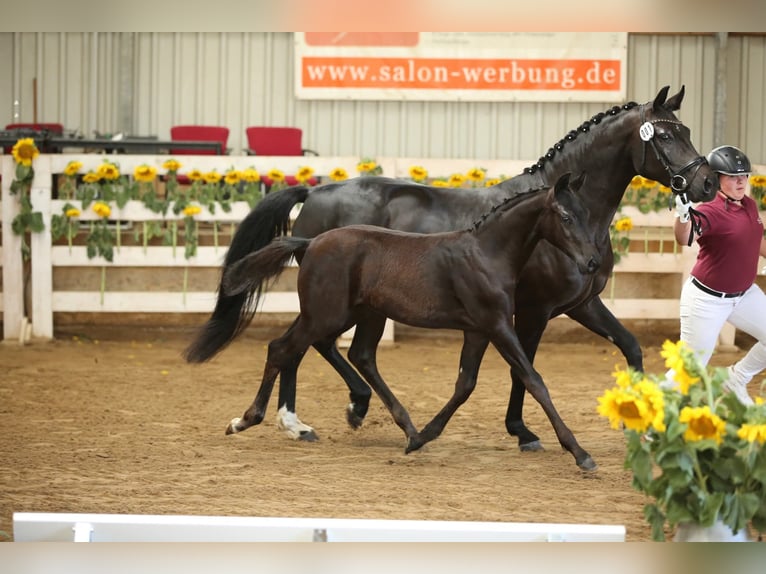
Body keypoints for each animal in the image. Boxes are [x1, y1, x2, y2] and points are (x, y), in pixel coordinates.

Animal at [219, 172, 603, 470]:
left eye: (587, 213)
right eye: (565, 216)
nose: (592, 262)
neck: (486, 254)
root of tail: (310, 242)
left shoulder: (478, 330)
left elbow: (465, 384)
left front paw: (423, 438)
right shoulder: (498, 325)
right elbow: (534, 380)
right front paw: (580, 452)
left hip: (354, 314)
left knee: (349, 354)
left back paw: (399, 426)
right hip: (326, 315)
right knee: (283, 349)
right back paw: (246, 421)